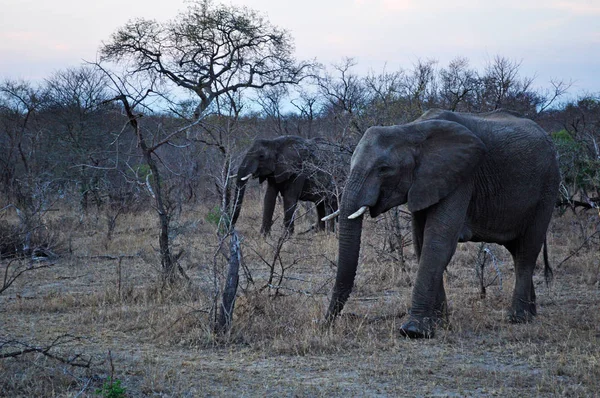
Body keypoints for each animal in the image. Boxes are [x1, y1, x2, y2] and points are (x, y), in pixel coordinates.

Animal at [326, 109, 560, 338]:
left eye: (384, 168)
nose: (326, 323)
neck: (410, 130)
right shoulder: (426, 182)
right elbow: (421, 243)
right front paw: (439, 323)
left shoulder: (462, 175)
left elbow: (438, 242)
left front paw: (413, 331)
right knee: (517, 250)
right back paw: (531, 314)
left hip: (548, 187)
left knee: (527, 250)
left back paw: (518, 318)